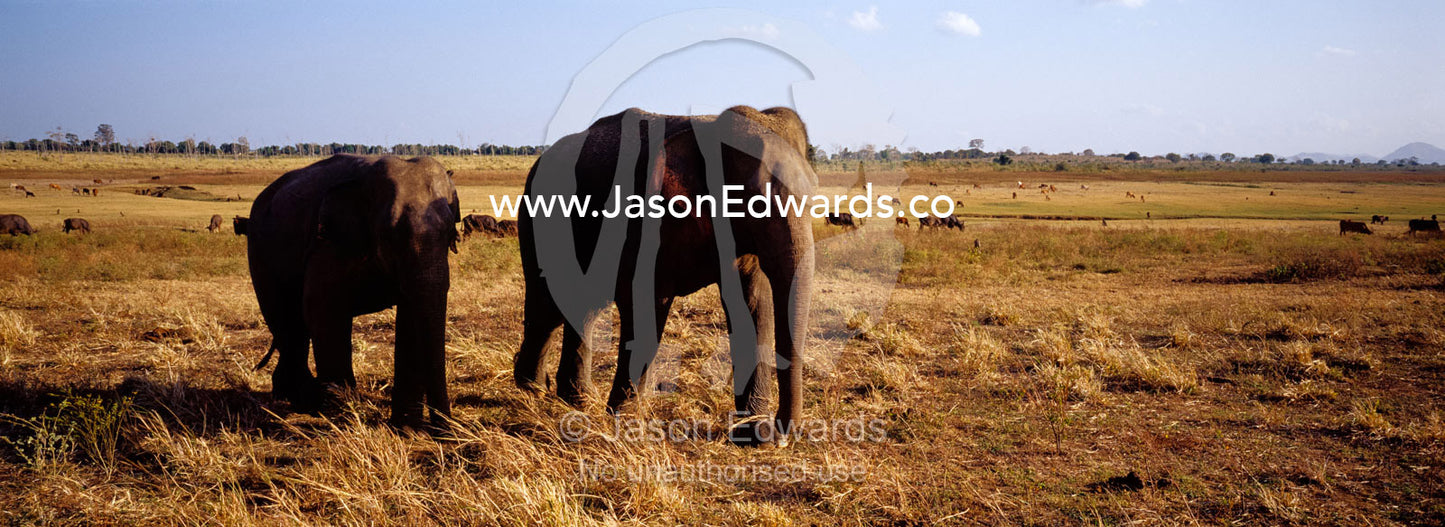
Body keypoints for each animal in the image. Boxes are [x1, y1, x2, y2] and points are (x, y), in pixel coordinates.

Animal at [246, 154, 461, 429]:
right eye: (389, 236)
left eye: (451, 233)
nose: (446, 431)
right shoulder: (328, 244)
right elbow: (323, 310)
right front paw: (346, 419)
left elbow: (411, 314)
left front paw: (406, 429)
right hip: (260, 252)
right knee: (288, 322)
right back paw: (306, 401)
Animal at [514, 105, 816, 445]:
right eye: (755, 201)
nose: (778, 435)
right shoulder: (647, 216)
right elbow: (645, 303)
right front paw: (627, 424)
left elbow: (751, 307)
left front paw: (752, 430)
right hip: (538, 218)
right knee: (547, 304)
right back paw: (535, 390)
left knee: (581, 307)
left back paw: (576, 398)